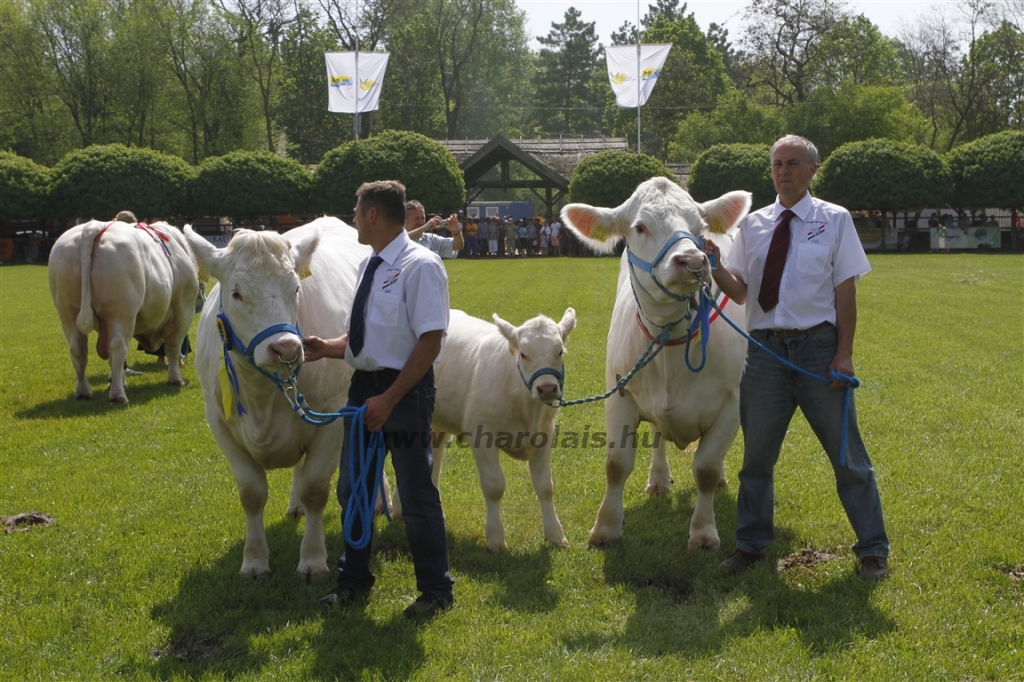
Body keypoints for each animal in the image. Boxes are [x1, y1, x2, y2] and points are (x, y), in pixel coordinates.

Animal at [48, 218, 199, 401]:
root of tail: (93, 226)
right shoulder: (183, 312)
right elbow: (173, 349)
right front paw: (176, 380)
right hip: (121, 313)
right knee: (118, 347)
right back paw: (118, 396)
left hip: (68, 312)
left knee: (78, 350)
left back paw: (84, 392)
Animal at [183, 219, 368, 577]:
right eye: (236, 293)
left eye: (295, 289)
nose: (287, 348)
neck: (261, 397)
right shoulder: (218, 421)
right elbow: (251, 493)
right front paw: (255, 559)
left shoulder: (334, 416)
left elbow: (315, 489)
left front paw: (313, 559)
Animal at [391, 307, 577, 552]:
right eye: (523, 354)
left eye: (560, 351)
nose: (547, 388)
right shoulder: (482, 436)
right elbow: (494, 486)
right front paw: (496, 538)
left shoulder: (544, 437)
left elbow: (545, 486)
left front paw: (555, 534)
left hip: (435, 423)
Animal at [561, 175, 753, 548]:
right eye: (640, 227)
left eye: (699, 226)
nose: (693, 260)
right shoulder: (618, 391)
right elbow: (616, 464)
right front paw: (605, 528)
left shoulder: (733, 400)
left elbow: (706, 467)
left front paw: (703, 531)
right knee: (659, 433)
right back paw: (660, 479)